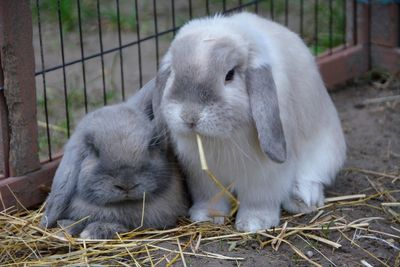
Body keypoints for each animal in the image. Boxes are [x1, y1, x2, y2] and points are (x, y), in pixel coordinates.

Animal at [153, 12, 346, 232]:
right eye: (173, 73)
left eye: (229, 75)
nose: (190, 116)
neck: (223, 138)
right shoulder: (202, 176)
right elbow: (211, 197)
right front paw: (206, 217)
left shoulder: (263, 175)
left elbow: (258, 199)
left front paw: (253, 223)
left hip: (326, 152)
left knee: (314, 176)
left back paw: (302, 199)